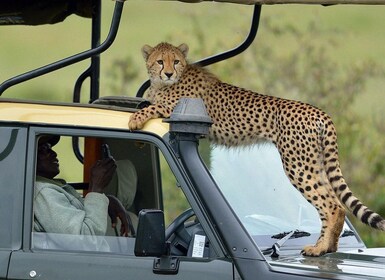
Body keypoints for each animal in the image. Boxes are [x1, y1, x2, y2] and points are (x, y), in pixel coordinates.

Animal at [129, 41, 384, 256]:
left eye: (176, 61)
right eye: (160, 61)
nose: (168, 73)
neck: (166, 83)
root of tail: (319, 111)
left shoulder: (176, 108)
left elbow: (152, 106)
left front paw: (134, 119)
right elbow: (148, 101)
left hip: (298, 165)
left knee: (331, 205)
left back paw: (319, 249)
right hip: (313, 163)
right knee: (336, 204)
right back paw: (327, 247)